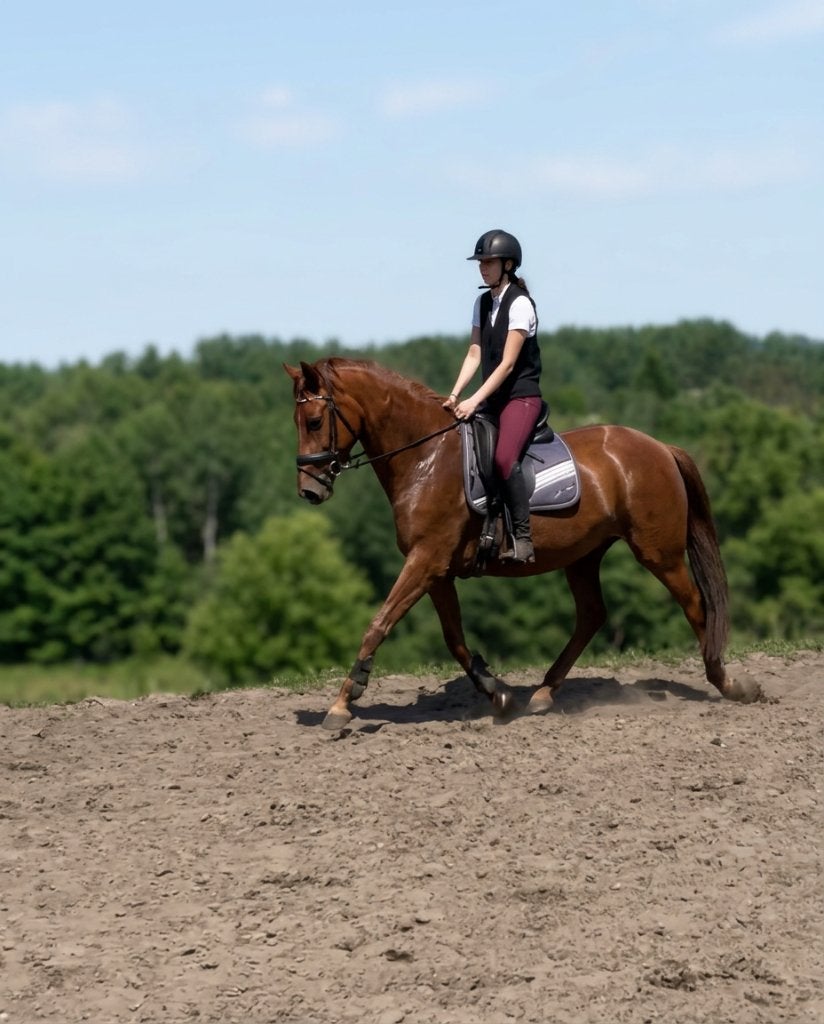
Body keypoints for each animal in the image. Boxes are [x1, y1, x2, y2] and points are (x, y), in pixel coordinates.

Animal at [285, 357, 761, 729]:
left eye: (314, 421)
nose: (309, 491)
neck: (426, 459)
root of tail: (660, 446)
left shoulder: (425, 561)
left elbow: (378, 624)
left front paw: (342, 703)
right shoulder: (437, 571)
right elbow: (454, 638)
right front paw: (498, 693)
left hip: (658, 553)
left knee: (695, 605)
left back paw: (728, 683)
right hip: (584, 555)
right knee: (592, 615)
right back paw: (543, 694)